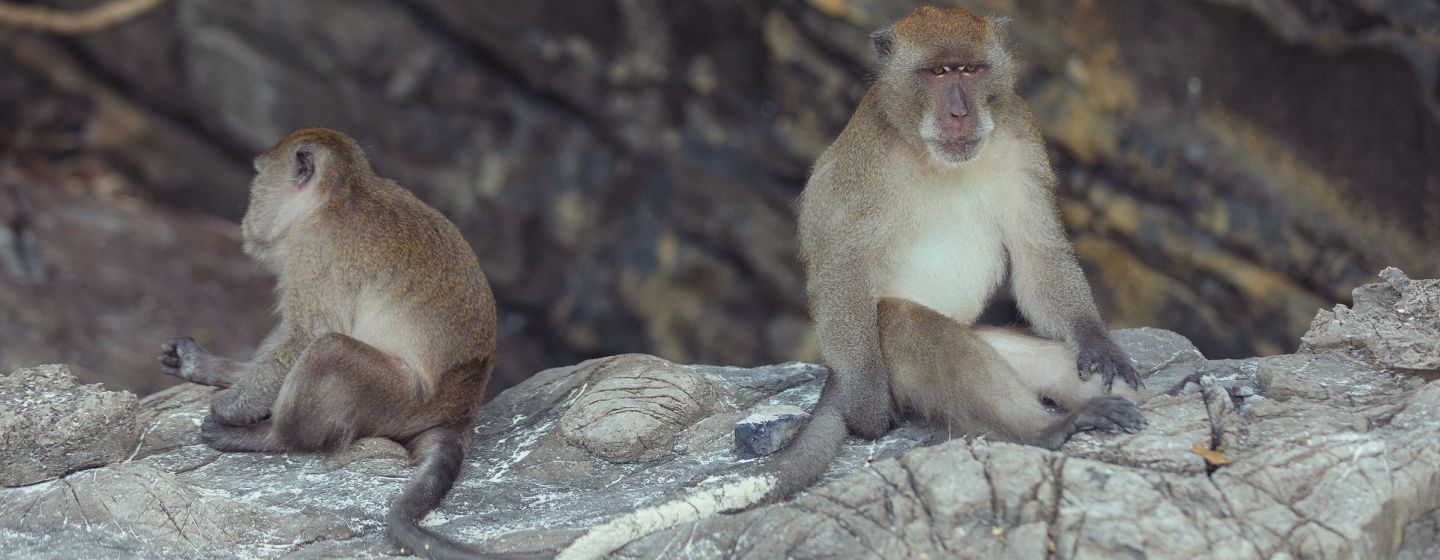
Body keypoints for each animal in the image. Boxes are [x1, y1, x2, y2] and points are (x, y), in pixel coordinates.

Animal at [161, 127, 498, 558]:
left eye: (258, 175)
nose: (248, 213)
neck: (341, 194)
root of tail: (461, 412)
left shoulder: (314, 252)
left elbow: (307, 335)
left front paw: (229, 408)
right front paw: (208, 367)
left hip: (399, 401)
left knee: (329, 349)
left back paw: (270, 438)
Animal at [555, 7, 1140, 552]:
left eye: (970, 70)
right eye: (936, 73)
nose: (959, 110)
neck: (924, 147)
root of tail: (835, 376)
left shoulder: (1021, 136)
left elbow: (1038, 255)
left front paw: (1097, 343)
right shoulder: (869, 163)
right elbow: (843, 267)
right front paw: (866, 412)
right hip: (876, 363)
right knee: (900, 324)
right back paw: (1041, 428)